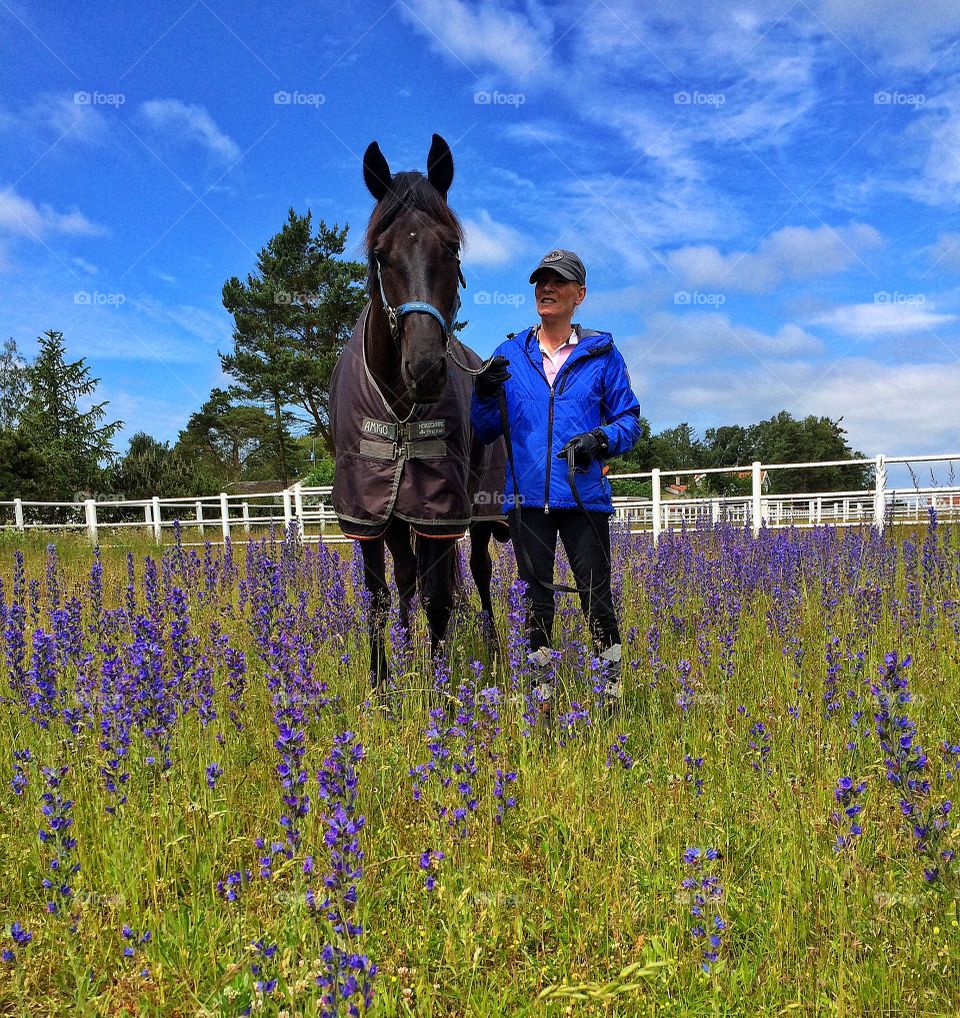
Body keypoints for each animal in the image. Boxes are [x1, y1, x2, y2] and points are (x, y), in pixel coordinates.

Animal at [329, 135, 511, 688]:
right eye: (379, 253)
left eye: (451, 247)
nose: (427, 368)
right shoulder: (367, 511)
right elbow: (380, 597)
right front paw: (384, 684)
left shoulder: (440, 509)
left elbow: (438, 599)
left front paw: (440, 687)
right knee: (408, 577)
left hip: (481, 509)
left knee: (477, 574)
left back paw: (494, 651)